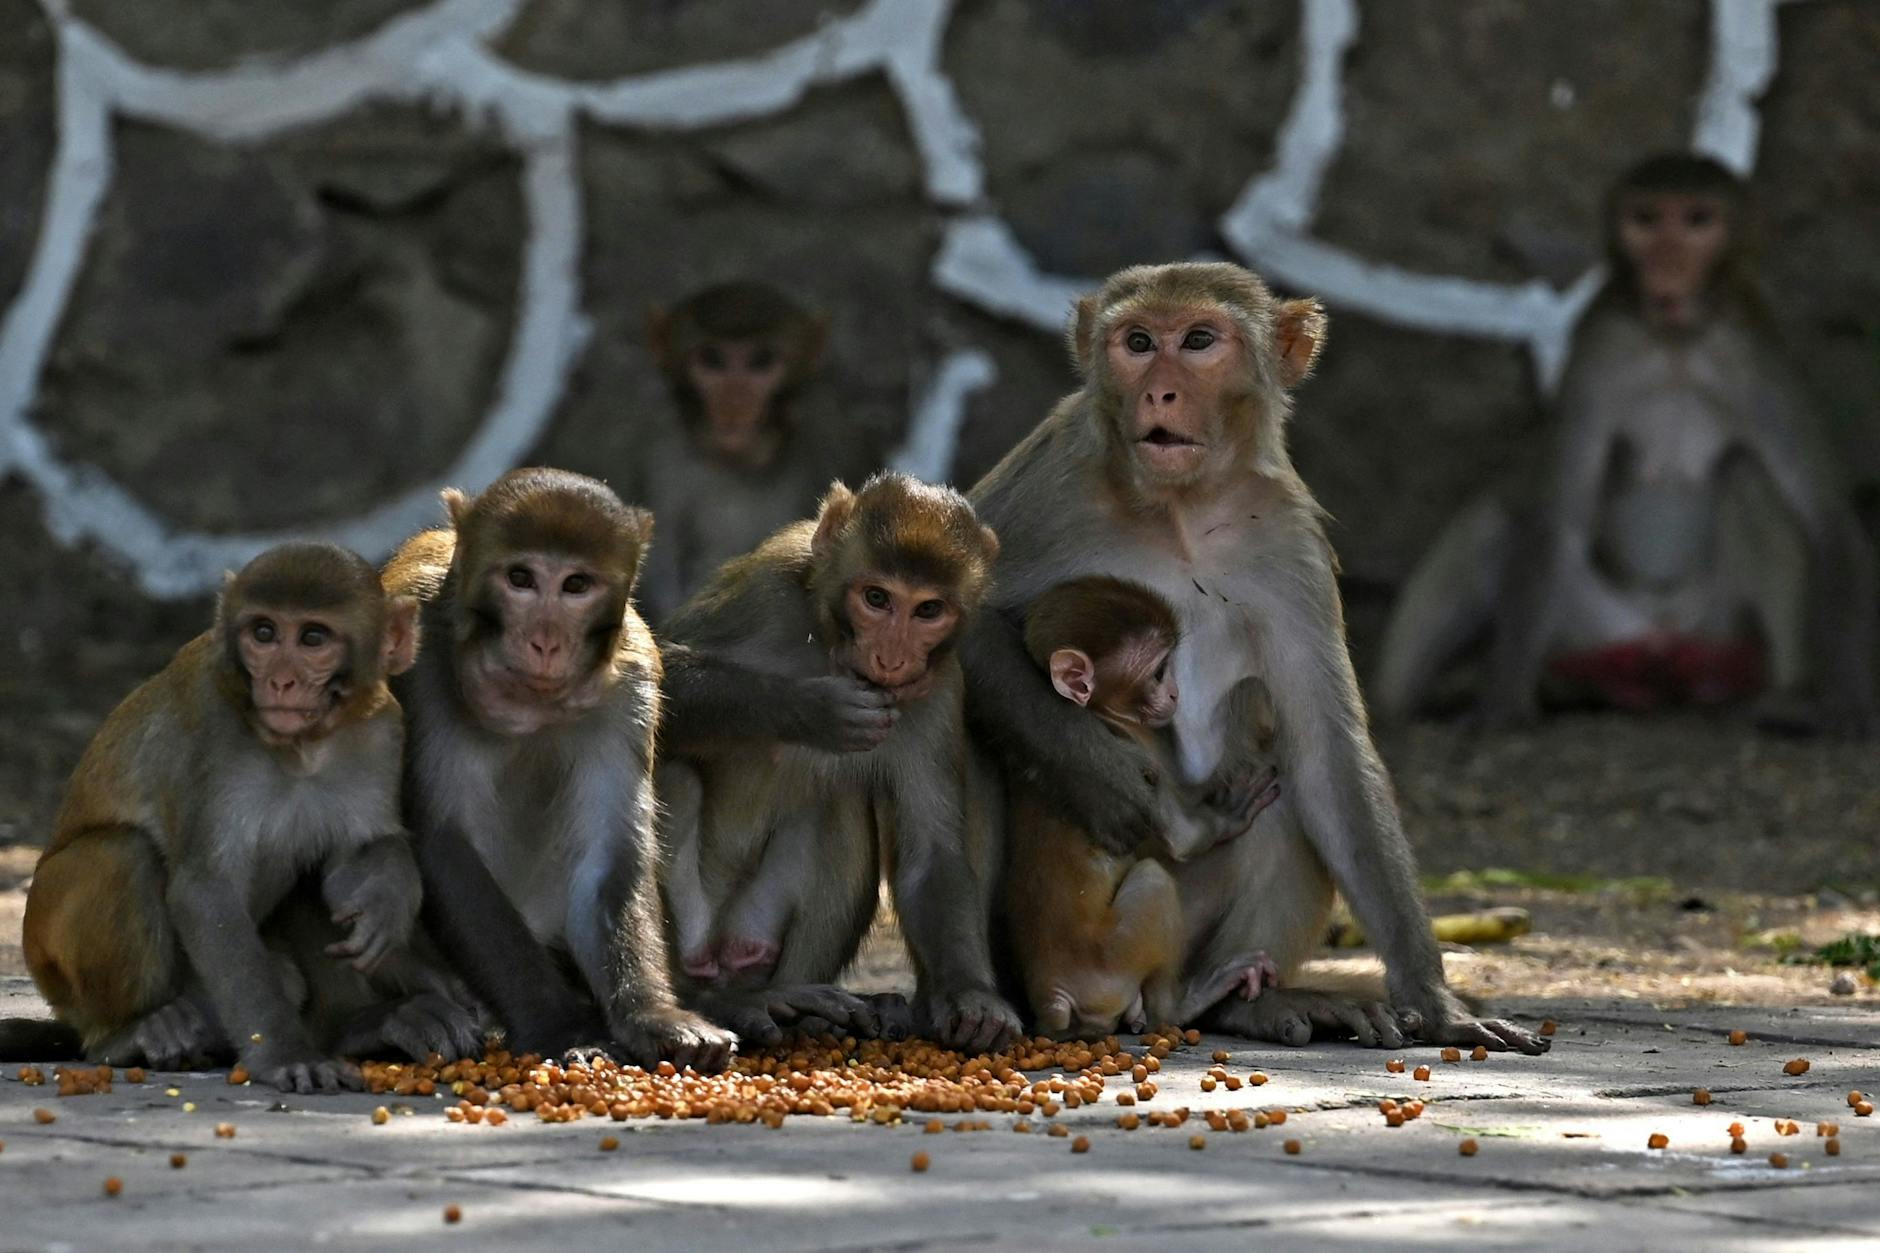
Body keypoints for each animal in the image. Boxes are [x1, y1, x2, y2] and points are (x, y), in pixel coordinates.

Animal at [9, 543, 480, 1089]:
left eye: (313, 637)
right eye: (263, 633)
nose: (279, 680)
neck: (302, 749)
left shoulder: (382, 731)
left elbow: (355, 860)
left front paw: (387, 898)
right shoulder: (211, 734)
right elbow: (205, 893)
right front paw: (287, 1054)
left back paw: (359, 1026)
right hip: (60, 967)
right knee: (122, 853)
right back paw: (126, 1034)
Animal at [384, 467, 734, 1072]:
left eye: (576, 585)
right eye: (520, 578)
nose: (545, 641)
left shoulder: (631, 682)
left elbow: (608, 857)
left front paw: (654, 1017)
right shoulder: (420, 660)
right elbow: (442, 842)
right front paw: (562, 1026)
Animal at [656, 472, 1019, 1052]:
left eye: (928, 610)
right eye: (876, 598)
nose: (891, 659)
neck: (827, 644)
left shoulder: (937, 689)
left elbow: (930, 852)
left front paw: (971, 995)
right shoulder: (766, 587)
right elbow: (657, 668)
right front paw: (812, 708)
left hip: (753, 934)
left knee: (839, 807)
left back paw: (797, 1006)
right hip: (693, 936)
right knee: (673, 778)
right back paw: (713, 1005)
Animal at [1006, 575, 1281, 1038]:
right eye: (1157, 671)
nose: (1174, 692)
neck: (1101, 712)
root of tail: (1053, 996)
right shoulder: (1136, 754)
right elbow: (1182, 839)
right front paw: (1231, 813)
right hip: (1115, 956)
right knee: (1154, 877)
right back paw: (1185, 1004)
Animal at [1375, 154, 1877, 733]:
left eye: (1698, 220)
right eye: (1645, 220)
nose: (1667, 267)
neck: (1676, 343)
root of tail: (1660, 636)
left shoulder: (1757, 358)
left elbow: (1828, 522)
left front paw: (1849, 703)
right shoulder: (1601, 349)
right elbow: (1555, 520)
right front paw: (1501, 701)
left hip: (1716, 624)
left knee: (1746, 478)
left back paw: (1782, 691)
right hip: (1593, 627)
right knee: (1493, 523)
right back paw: (1404, 704)